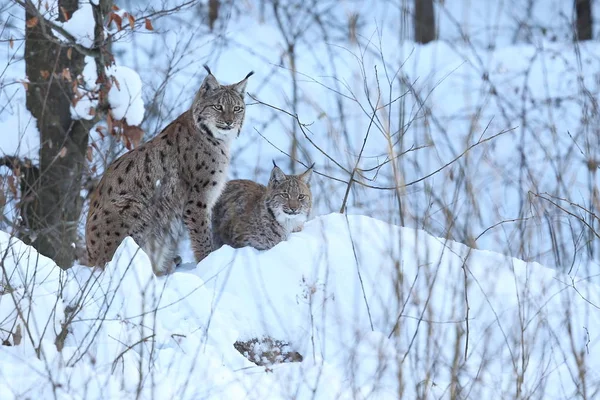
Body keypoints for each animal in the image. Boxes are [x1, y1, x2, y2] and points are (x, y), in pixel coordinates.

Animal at [85, 68, 253, 276]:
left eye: (237, 108)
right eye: (218, 107)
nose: (229, 122)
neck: (216, 139)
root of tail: (89, 259)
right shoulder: (197, 200)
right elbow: (202, 236)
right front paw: (207, 265)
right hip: (134, 204)